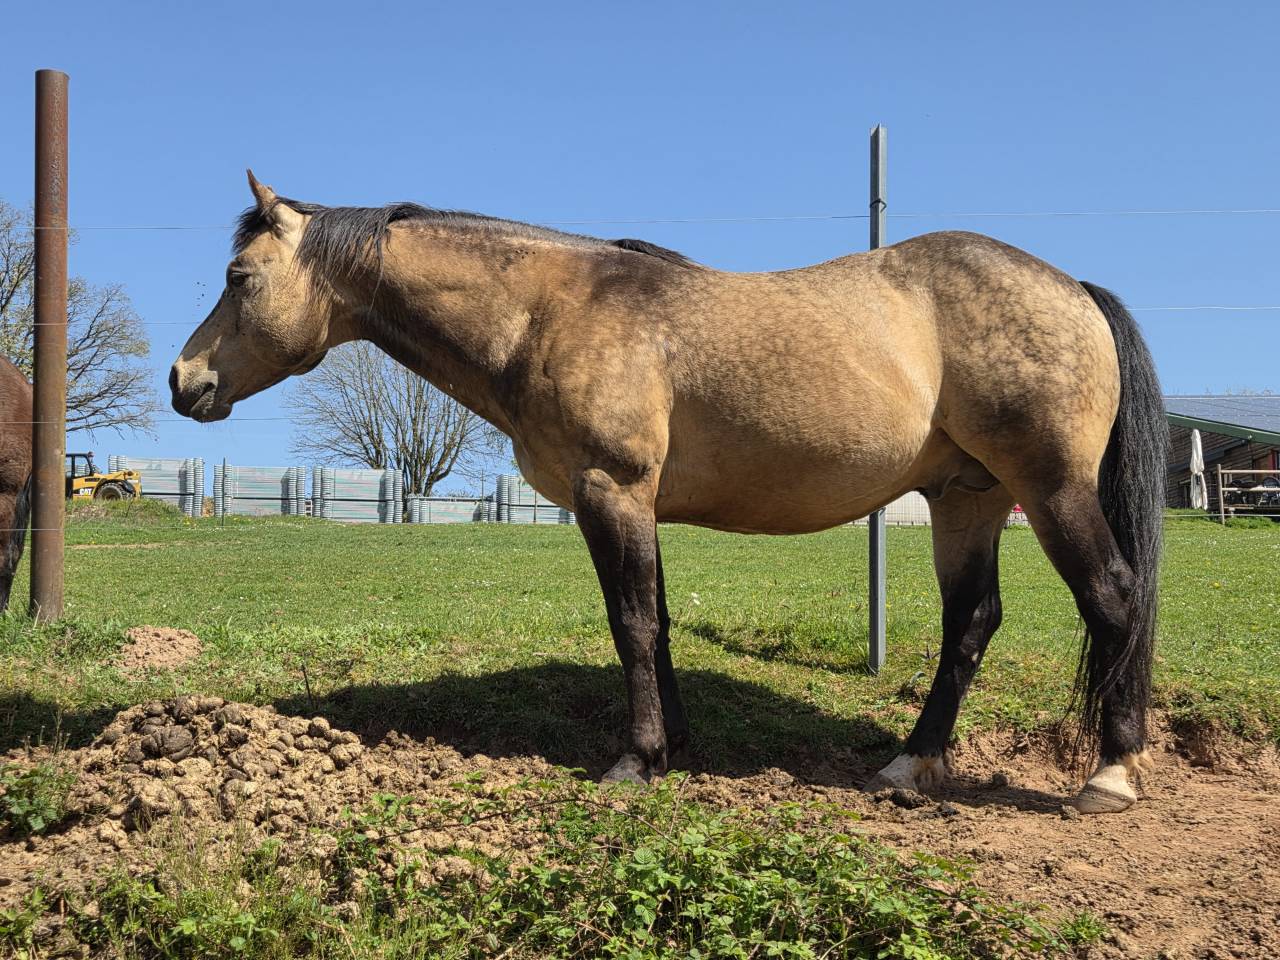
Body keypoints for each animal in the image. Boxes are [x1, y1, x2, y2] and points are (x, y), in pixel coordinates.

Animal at [171, 172, 1166, 814]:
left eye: (239, 277)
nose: (185, 381)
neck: (550, 310)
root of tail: (1073, 288)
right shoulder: (638, 507)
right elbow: (658, 624)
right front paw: (676, 749)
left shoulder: (610, 493)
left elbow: (633, 623)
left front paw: (635, 759)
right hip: (968, 498)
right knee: (972, 623)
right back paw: (910, 766)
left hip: (1048, 489)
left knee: (1114, 598)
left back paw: (1109, 776)